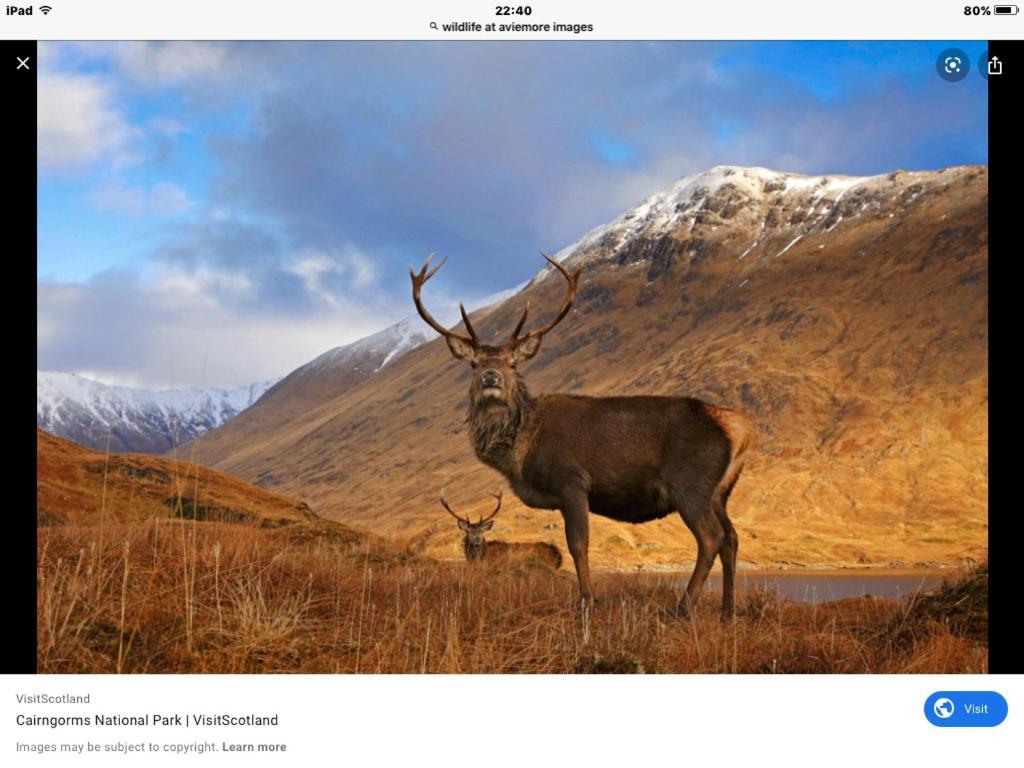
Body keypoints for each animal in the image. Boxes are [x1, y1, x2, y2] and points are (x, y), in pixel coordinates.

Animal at [409, 253, 753, 618]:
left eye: (512, 363)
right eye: (473, 364)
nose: (491, 376)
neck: (521, 451)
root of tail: (739, 428)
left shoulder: (571, 480)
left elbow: (578, 543)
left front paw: (587, 600)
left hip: (690, 485)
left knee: (711, 537)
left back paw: (683, 607)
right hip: (720, 492)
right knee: (731, 537)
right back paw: (727, 611)